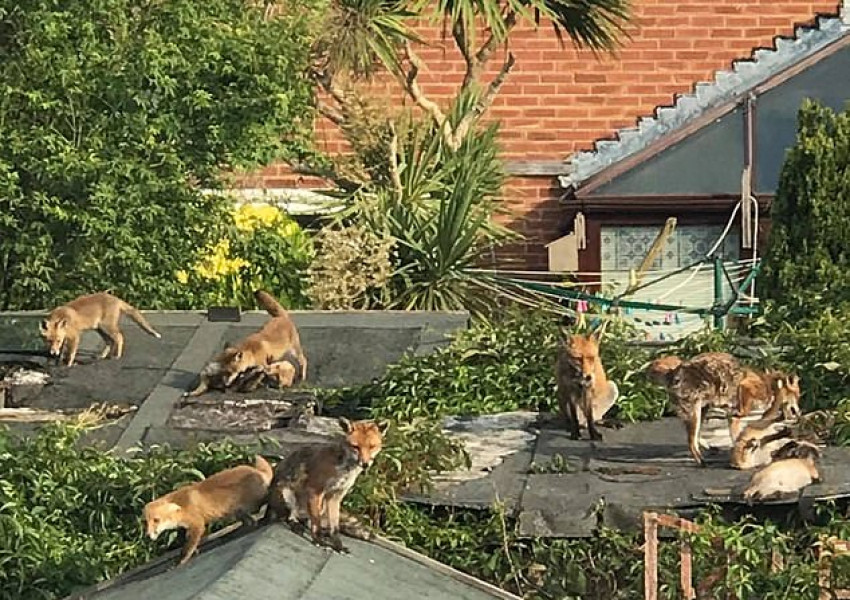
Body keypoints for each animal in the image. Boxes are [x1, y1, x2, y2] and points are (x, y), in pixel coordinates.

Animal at [141, 458, 270, 564]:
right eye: (145, 522)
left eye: (156, 520)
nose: (147, 535)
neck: (182, 506)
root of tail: (256, 470)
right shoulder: (189, 527)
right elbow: (189, 541)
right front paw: (193, 552)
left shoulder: (197, 524)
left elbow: (188, 547)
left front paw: (181, 560)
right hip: (238, 512)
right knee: (250, 521)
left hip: (254, 502)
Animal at [264, 418, 384, 552]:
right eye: (355, 447)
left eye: (372, 447)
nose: (365, 464)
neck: (343, 470)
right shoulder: (315, 490)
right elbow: (316, 522)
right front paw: (318, 540)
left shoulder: (335, 496)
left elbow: (334, 527)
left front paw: (338, 545)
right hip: (287, 495)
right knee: (288, 518)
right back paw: (297, 526)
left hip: (321, 506)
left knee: (307, 521)